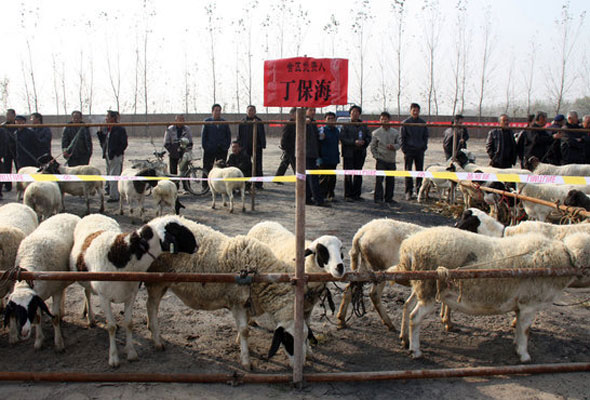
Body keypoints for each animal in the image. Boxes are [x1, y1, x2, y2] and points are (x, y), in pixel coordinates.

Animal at [4, 212, 81, 350]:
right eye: (15, 309)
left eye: (29, 307)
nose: (23, 332)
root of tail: (67, 213)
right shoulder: (38, 296)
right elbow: (38, 318)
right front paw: (39, 341)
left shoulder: (55, 291)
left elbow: (54, 318)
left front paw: (59, 343)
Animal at [72, 214, 198, 368]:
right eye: (177, 230)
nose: (197, 246)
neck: (121, 255)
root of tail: (94, 215)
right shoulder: (104, 297)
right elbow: (111, 327)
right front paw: (113, 358)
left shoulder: (131, 295)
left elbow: (129, 323)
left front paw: (131, 353)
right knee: (87, 293)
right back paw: (90, 317)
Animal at [147, 217, 312, 370]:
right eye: (289, 340)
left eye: (305, 338)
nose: (302, 365)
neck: (259, 272)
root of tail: (154, 221)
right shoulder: (237, 302)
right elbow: (245, 330)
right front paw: (246, 361)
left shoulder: (246, 303)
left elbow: (245, 325)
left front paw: (241, 345)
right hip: (156, 281)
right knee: (152, 306)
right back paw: (157, 341)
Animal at [396, 227, 580, 364]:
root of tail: (409, 244)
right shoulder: (530, 303)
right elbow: (525, 329)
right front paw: (524, 355)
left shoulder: (521, 304)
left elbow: (519, 327)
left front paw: (516, 345)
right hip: (428, 288)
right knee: (415, 317)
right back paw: (415, 350)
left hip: (419, 285)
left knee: (407, 305)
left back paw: (404, 338)